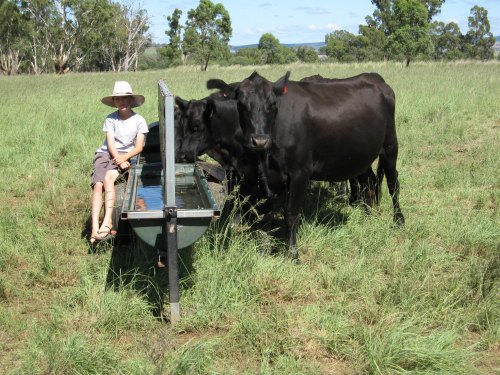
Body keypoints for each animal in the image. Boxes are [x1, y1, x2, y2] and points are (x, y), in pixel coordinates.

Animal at [208, 71, 406, 258]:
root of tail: (375, 78)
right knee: (370, 182)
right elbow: (267, 216)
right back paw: (369, 214)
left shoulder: (300, 173)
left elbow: (291, 215)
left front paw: (292, 254)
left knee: (393, 183)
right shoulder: (269, 179)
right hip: (361, 155)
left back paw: (398, 220)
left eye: (273, 105)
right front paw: (263, 250)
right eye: (241, 105)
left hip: (390, 146)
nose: (259, 140)